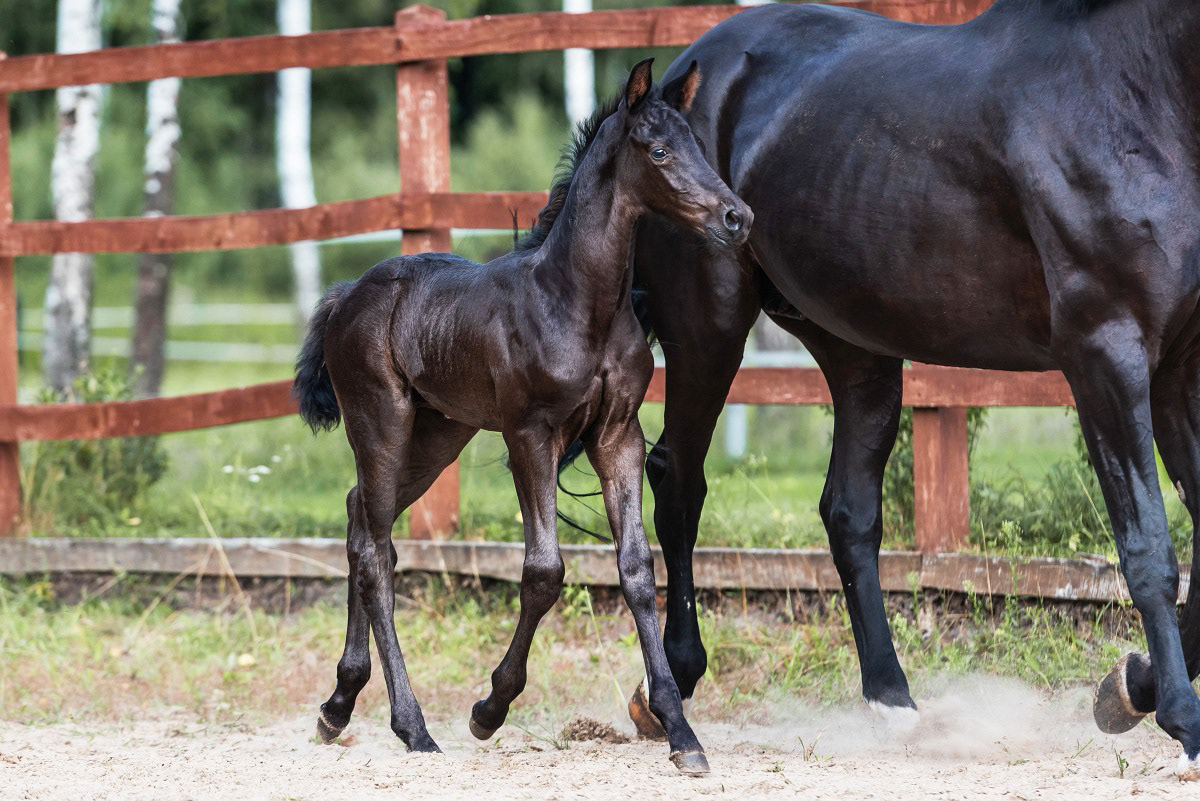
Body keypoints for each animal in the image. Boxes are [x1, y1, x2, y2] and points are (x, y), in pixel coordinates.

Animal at [291, 59, 751, 775]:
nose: (737, 217)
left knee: (361, 520)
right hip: (381, 421)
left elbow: (636, 569)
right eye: (658, 151)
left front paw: (681, 733)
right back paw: (412, 726)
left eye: (700, 146)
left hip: (439, 434)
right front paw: (490, 708)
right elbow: (543, 572)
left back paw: (339, 704)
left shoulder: (618, 435)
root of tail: (346, 295)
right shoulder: (530, 434)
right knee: (373, 549)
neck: (578, 302)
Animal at [581, 0, 1200, 775]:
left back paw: (893, 700)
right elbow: (1150, 547)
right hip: (709, 332)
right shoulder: (1106, 356)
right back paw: (671, 687)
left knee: (848, 511)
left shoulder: (1177, 367)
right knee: (680, 482)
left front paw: (1128, 686)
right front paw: (1176, 715)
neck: (1133, 89)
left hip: (858, 353)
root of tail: (678, 75)